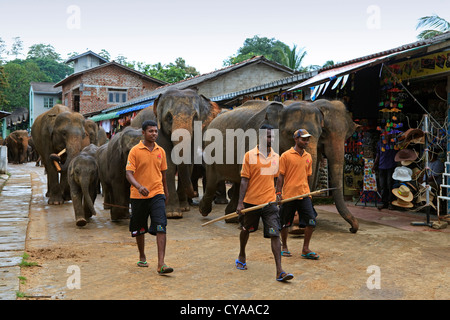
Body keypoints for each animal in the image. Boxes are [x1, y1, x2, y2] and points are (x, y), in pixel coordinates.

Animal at [129, 87, 222, 218]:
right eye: (169, 117)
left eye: (195, 117)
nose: (195, 192)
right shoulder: (159, 131)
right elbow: (168, 164)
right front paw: (173, 214)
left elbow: (188, 163)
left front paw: (184, 208)